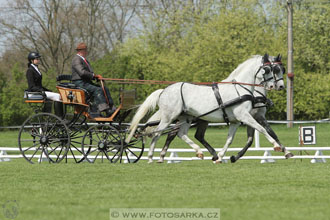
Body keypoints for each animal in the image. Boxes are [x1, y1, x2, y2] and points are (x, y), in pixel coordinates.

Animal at [126, 54, 282, 162]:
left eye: (279, 69)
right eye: (268, 69)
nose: (277, 86)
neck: (239, 88)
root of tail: (163, 91)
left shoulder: (236, 121)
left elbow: (230, 139)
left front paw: (221, 156)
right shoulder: (244, 116)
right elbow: (261, 129)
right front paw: (276, 145)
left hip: (186, 118)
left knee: (181, 133)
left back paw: (199, 152)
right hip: (169, 117)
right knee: (157, 133)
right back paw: (151, 157)